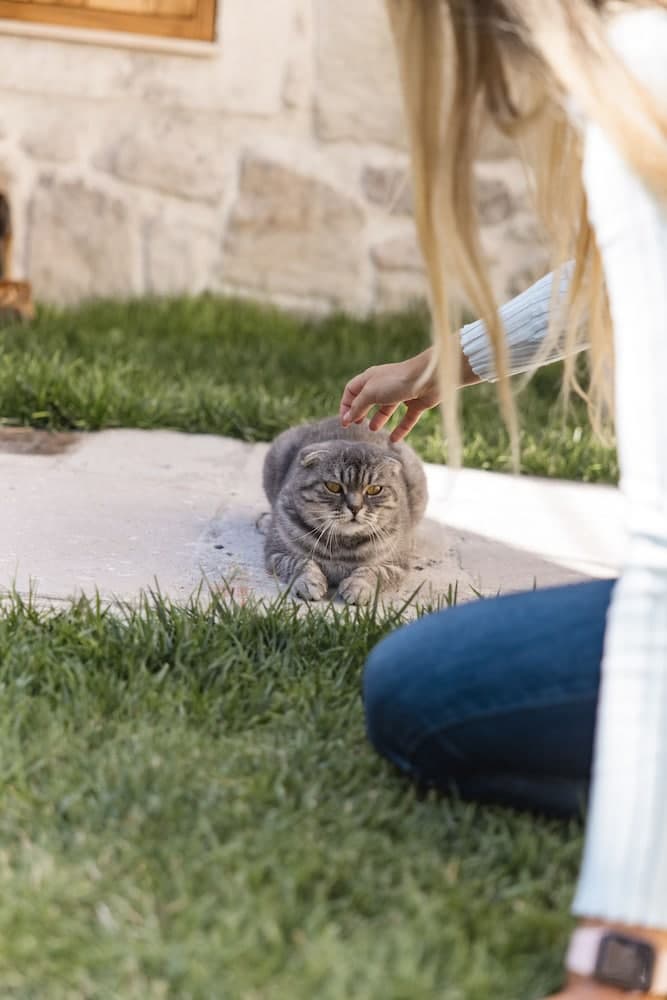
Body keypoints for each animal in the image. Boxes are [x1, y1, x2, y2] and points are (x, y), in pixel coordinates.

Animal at [262, 416, 428, 604]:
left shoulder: (396, 564)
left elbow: (373, 571)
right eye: (333, 487)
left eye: (374, 489)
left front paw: (359, 587)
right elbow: (300, 563)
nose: (355, 507)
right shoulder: (277, 553)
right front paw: (309, 582)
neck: (342, 546)